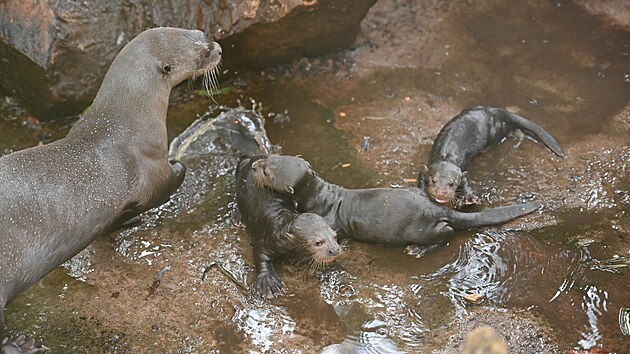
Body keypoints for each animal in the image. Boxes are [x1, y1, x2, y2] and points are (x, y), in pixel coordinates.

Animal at [0, 27, 222, 352]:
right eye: (201, 53)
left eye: (200, 32)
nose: (217, 49)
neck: (123, 125)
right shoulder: (152, 173)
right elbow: (168, 182)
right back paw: (24, 344)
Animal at [236, 158, 344, 298]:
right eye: (317, 242)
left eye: (335, 236)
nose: (335, 250)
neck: (281, 224)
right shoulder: (265, 237)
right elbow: (260, 255)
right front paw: (268, 282)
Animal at [252, 156, 544, 256]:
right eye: (270, 157)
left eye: (268, 171)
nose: (254, 165)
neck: (321, 196)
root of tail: (439, 207)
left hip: (423, 229)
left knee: (448, 233)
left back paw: (418, 250)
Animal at [420, 106, 568, 209]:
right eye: (433, 180)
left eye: (452, 183)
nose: (441, 193)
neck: (446, 155)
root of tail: (495, 111)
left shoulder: (462, 173)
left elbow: (466, 182)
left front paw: (468, 197)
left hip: (495, 132)